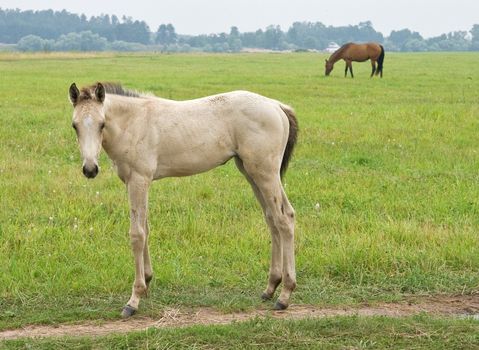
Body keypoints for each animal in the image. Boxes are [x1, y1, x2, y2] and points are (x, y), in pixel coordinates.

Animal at [69, 82, 298, 318]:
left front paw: (134, 298)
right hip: (251, 172)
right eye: (75, 126)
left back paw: (284, 295)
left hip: (265, 173)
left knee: (284, 219)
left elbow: (137, 234)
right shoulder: (135, 182)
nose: (90, 169)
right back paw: (270, 287)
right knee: (273, 218)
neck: (133, 122)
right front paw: (148, 281)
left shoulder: (139, 180)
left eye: (102, 124)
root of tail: (277, 106)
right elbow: (146, 228)